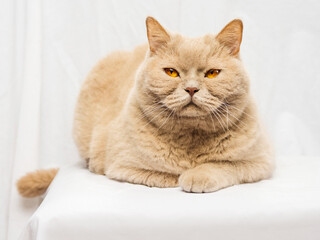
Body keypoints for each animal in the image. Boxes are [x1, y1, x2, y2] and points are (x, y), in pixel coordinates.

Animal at [16, 17, 272, 197]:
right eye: (172, 72)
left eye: (212, 73)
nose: (191, 89)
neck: (191, 139)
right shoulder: (121, 165)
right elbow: (167, 174)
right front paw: (183, 174)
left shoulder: (261, 162)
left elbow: (225, 165)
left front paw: (197, 175)